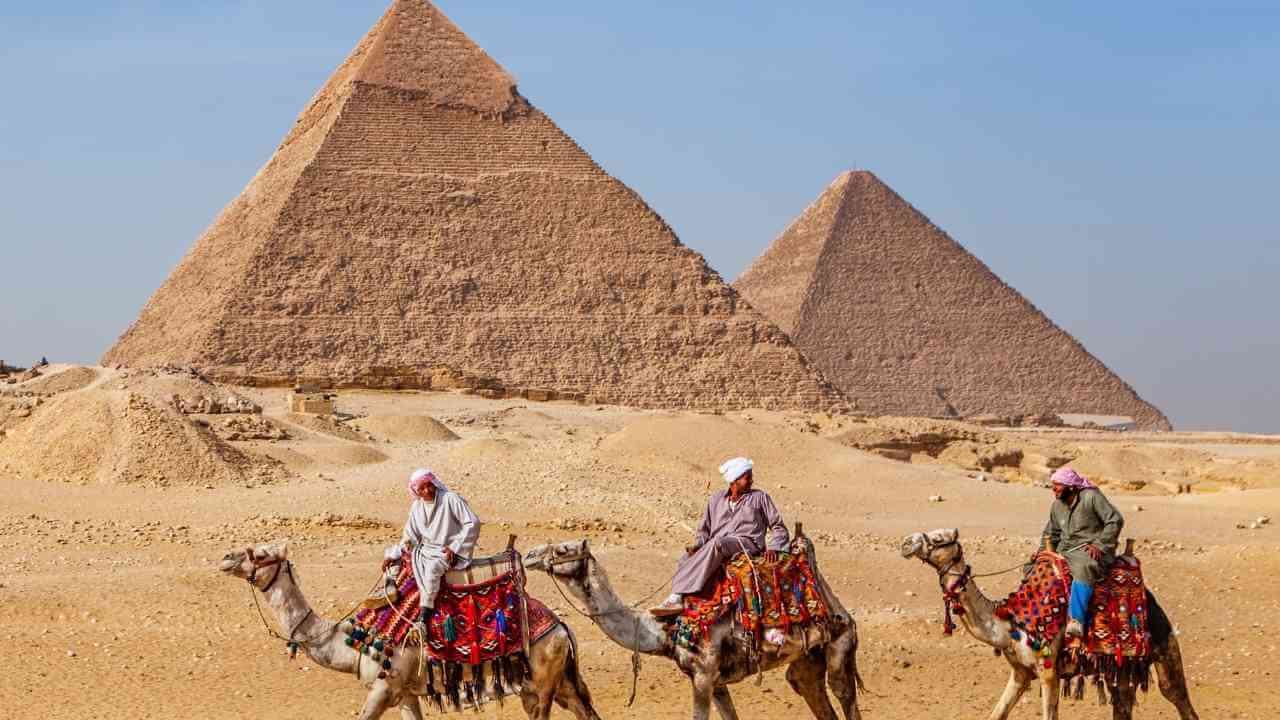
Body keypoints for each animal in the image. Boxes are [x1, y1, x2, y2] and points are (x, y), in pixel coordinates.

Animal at [217, 538, 601, 717]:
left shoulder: (382, 689)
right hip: (556, 683)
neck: (350, 643)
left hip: (542, 684)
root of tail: (562, 627)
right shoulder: (405, 694)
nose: (225, 557)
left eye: (259, 554)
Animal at [524, 520, 865, 717]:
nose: (529, 555)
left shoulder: (703, 675)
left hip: (841, 642)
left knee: (843, 693)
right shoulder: (715, 681)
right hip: (807, 658)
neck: (665, 630)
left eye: (563, 549)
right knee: (809, 688)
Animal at [901, 527, 1198, 717]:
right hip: (1121, 668)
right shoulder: (1020, 672)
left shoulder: (1048, 671)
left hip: (1163, 646)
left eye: (939, 538)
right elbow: (996, 714)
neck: (1010, 624)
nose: (906, 542)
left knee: (1177, 697)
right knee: (1122, 706)